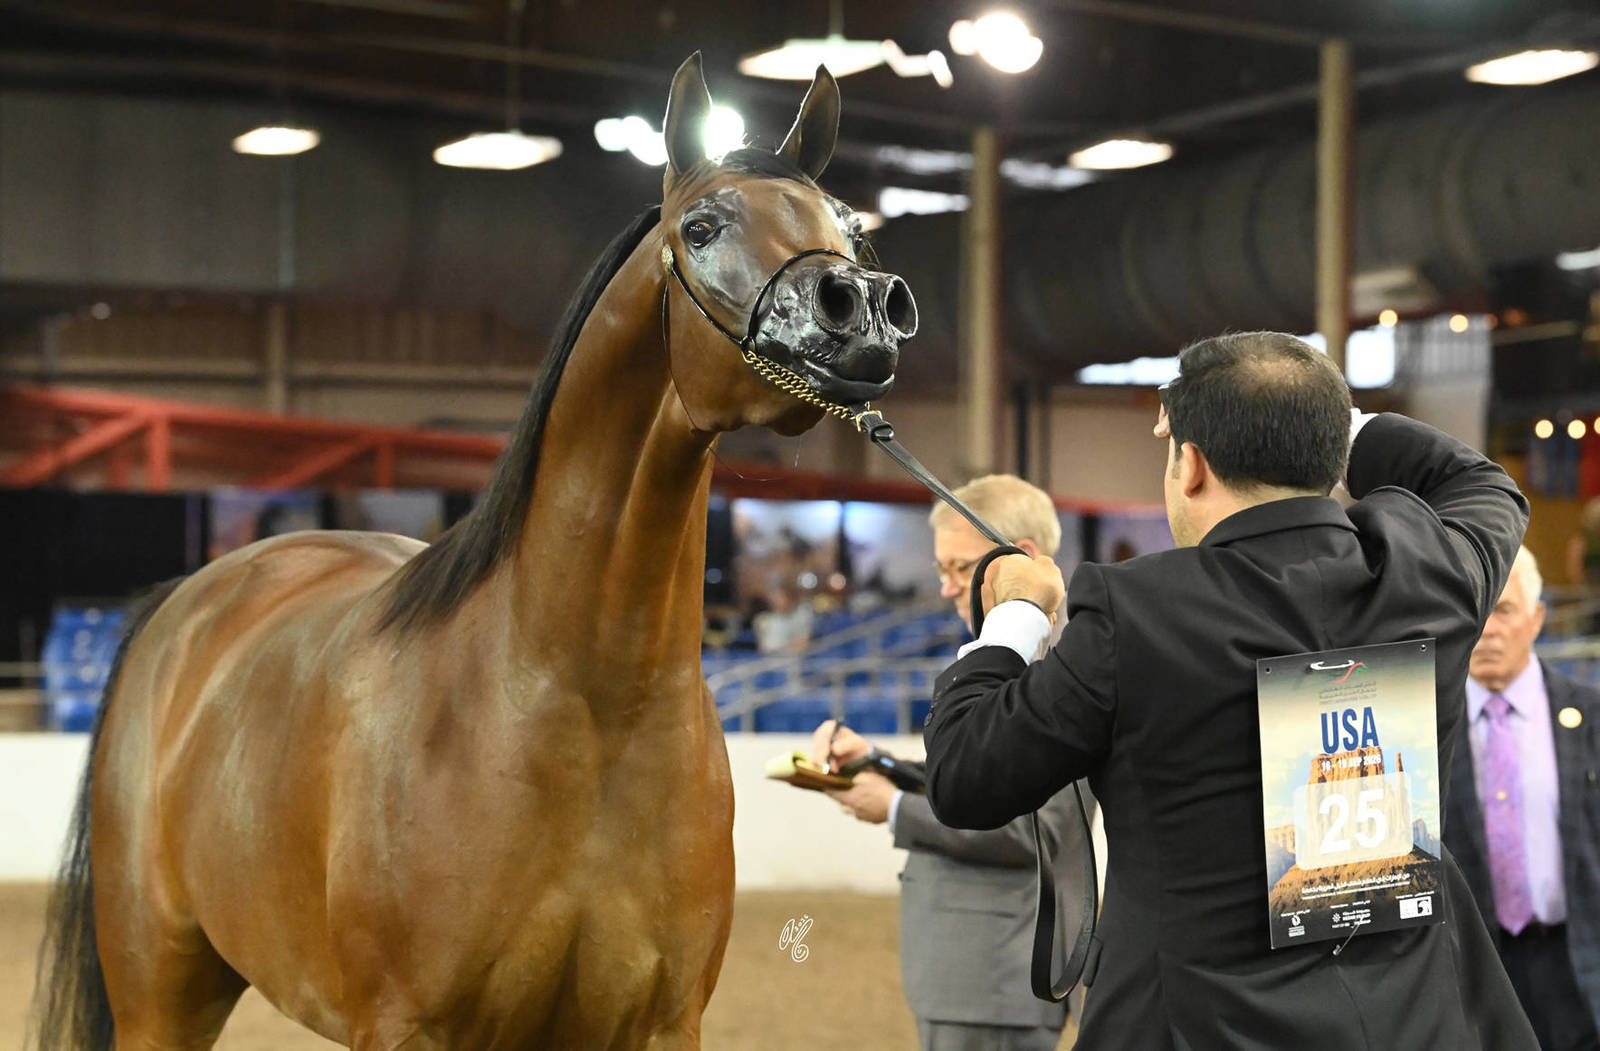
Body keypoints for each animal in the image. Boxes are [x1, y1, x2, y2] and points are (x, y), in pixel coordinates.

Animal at [32, 52, 918, 1050]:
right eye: (702, 225)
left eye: (851, 225)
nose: (862, 310)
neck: (579, 704)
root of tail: (182, 606)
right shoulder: (406, 1026)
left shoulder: (659, 1025)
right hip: (161, 996)